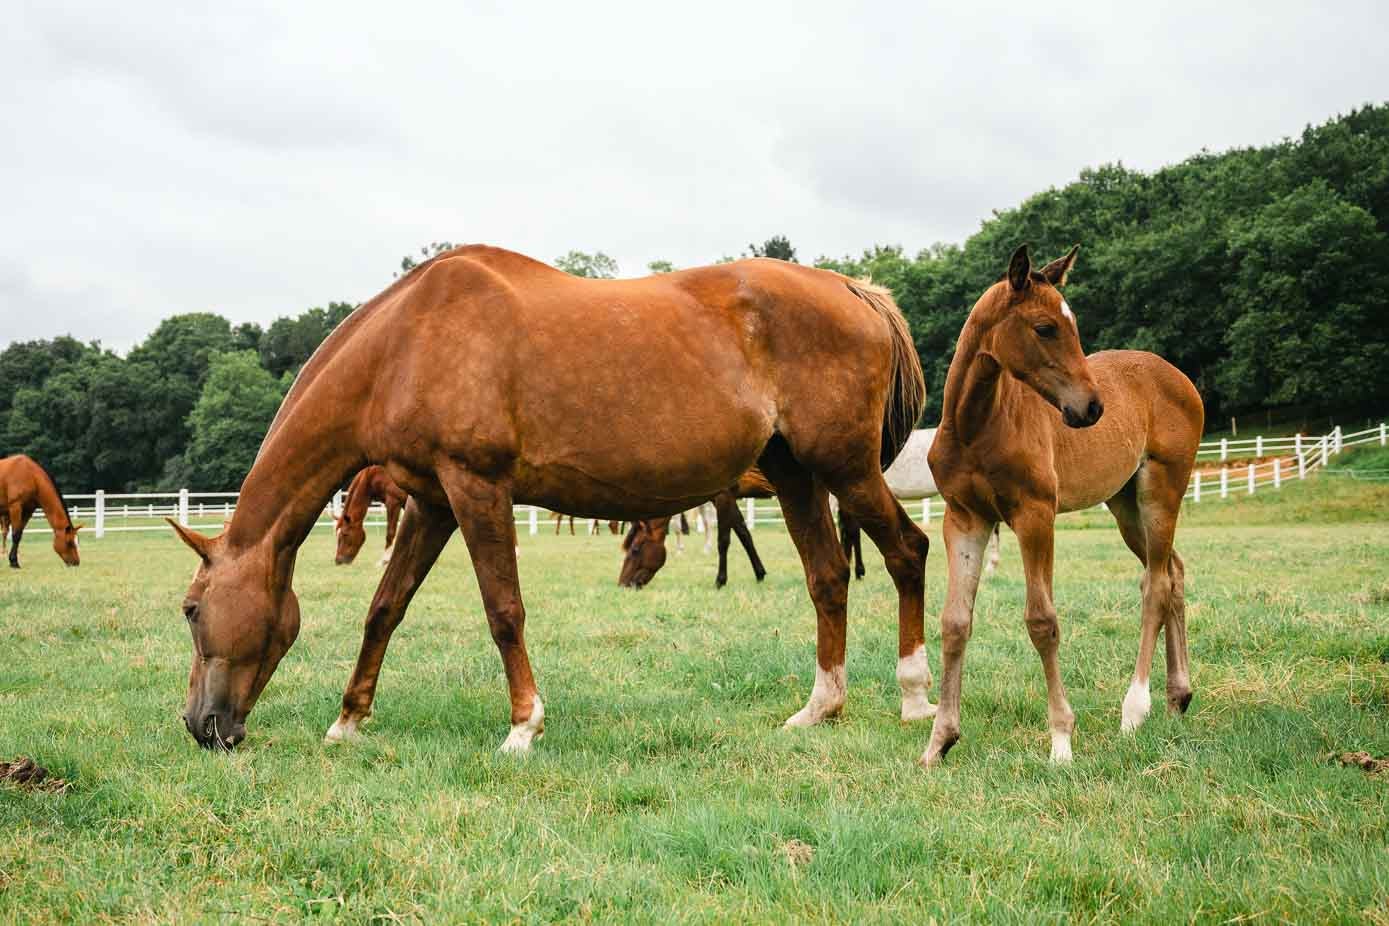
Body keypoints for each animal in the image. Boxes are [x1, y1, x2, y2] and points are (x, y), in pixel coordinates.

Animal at [168, 244, 927, 755]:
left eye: (191, 610)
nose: (202, 727)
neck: (405, 343)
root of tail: (851, 288)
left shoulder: (477, 489)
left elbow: (503, 611)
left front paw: (521, 727)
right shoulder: (432, 502)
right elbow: (385, 608)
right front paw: (348, 720)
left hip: (845, 468)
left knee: (907, 551)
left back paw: (916, 699)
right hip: (797, 475)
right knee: (827, 577)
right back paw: (819, 708)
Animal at [916, 244, 1200, 766]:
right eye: (1045, 327)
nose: (1091, 408)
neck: (976, 425)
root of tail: (1179, 377)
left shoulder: (1035, 515)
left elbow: (1042, 621)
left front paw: (1061, 740)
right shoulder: (965, 519)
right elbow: (954, 623)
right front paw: (938, 742)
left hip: (1161, 490)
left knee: (1154, 584)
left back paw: (1135, 709)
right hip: (1125, 504)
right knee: (1173, 572)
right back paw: (1177, 697)